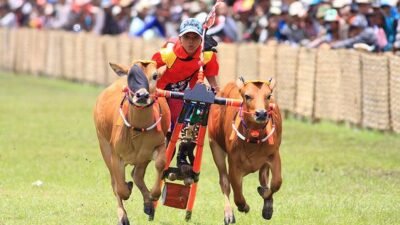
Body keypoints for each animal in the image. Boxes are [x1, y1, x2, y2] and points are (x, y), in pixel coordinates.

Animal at [94, 60, 170, 225]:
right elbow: (120, 188)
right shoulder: (115, 155)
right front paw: (127, 191)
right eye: (131, 75)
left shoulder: (158, 146)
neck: (138, 130)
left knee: (137, 175)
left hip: (142, 159)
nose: (142, 95)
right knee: (115, 182)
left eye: (155, 75)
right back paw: (123, 216)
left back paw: (148, 204)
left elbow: (160, 165)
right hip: (104, 146)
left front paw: (152, 197)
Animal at [208, 77, 282, 223]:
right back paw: (228, 214)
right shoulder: (234, 164)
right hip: (215, 147)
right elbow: (237, 193)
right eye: (247, 96)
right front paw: (244, 207)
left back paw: (267, 206)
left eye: (268, 95)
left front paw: (265, 200)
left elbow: (276, 183)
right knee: (224, 182)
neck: (253, 141)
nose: (261, 113)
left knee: (263, 178)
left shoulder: (274, 155)